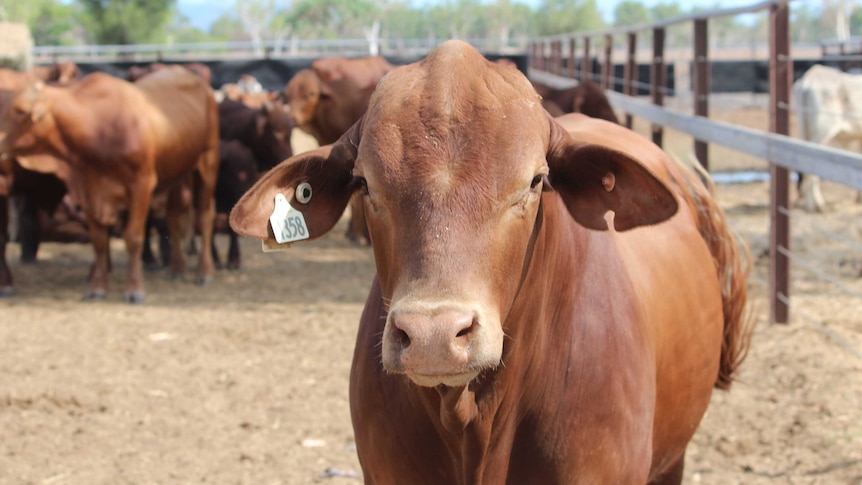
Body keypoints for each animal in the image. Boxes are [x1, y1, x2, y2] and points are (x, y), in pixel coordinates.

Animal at [0, 67, 219, 302]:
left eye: (20, 111)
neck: (98, 127)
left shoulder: (142, 184)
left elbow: (133, 237)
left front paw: (134, 289)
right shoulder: (87, 191)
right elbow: (99, 241)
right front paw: (97, 287)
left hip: (207, 163)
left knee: (205, 217)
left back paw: (204, 272)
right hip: (176, 172)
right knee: (173, 217)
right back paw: (177, 268)